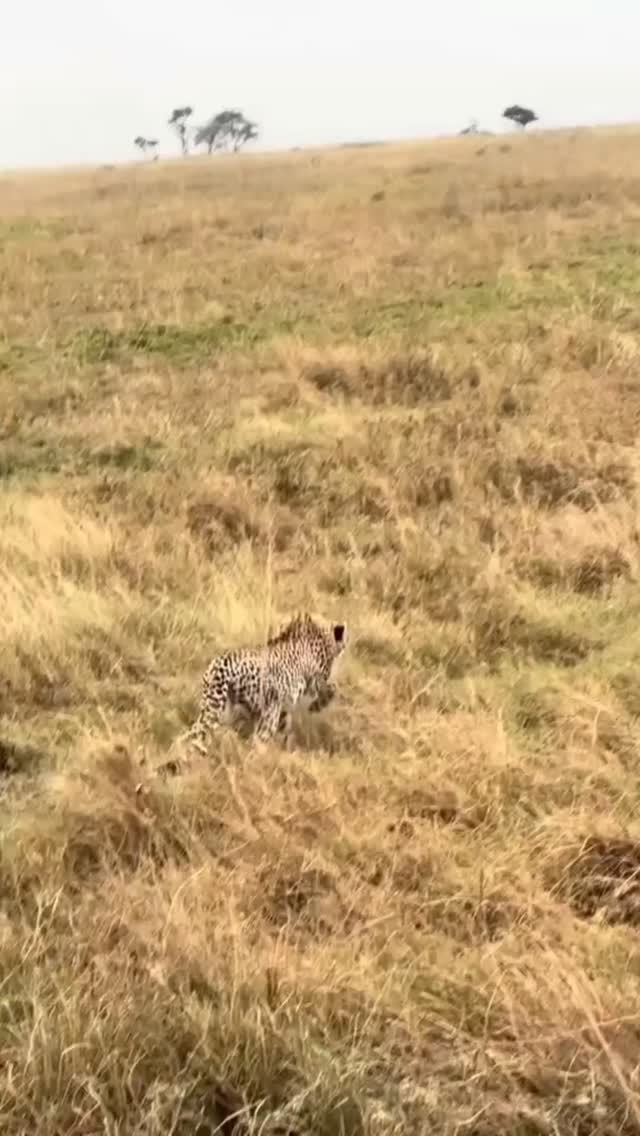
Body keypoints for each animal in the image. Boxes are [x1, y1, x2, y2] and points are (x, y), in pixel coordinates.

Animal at [183, 613, 347, 753]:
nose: (345, 646)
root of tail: (219, 663)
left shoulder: (284, 706)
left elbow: (285, 726)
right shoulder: (315, 682)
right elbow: (331, 688)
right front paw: (317, 706)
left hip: (219, 708)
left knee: (193, 733)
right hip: (268, 710)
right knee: (258, 740)